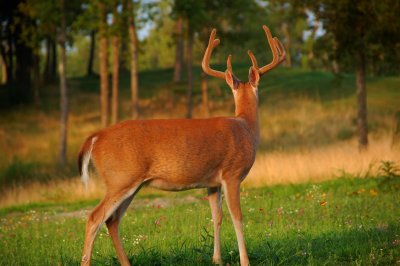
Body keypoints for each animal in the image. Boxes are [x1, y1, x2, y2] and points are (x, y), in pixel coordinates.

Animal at [78, 25, 284, 266]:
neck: (246, 126)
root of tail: (95, 137)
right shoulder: (232, 174)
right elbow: (237, 217)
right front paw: (245, 261)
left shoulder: (212, 182)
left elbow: (217, 216)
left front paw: (217, 259)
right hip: (120, 179)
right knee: (94, 217)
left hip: (129, 183)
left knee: (112, 220)